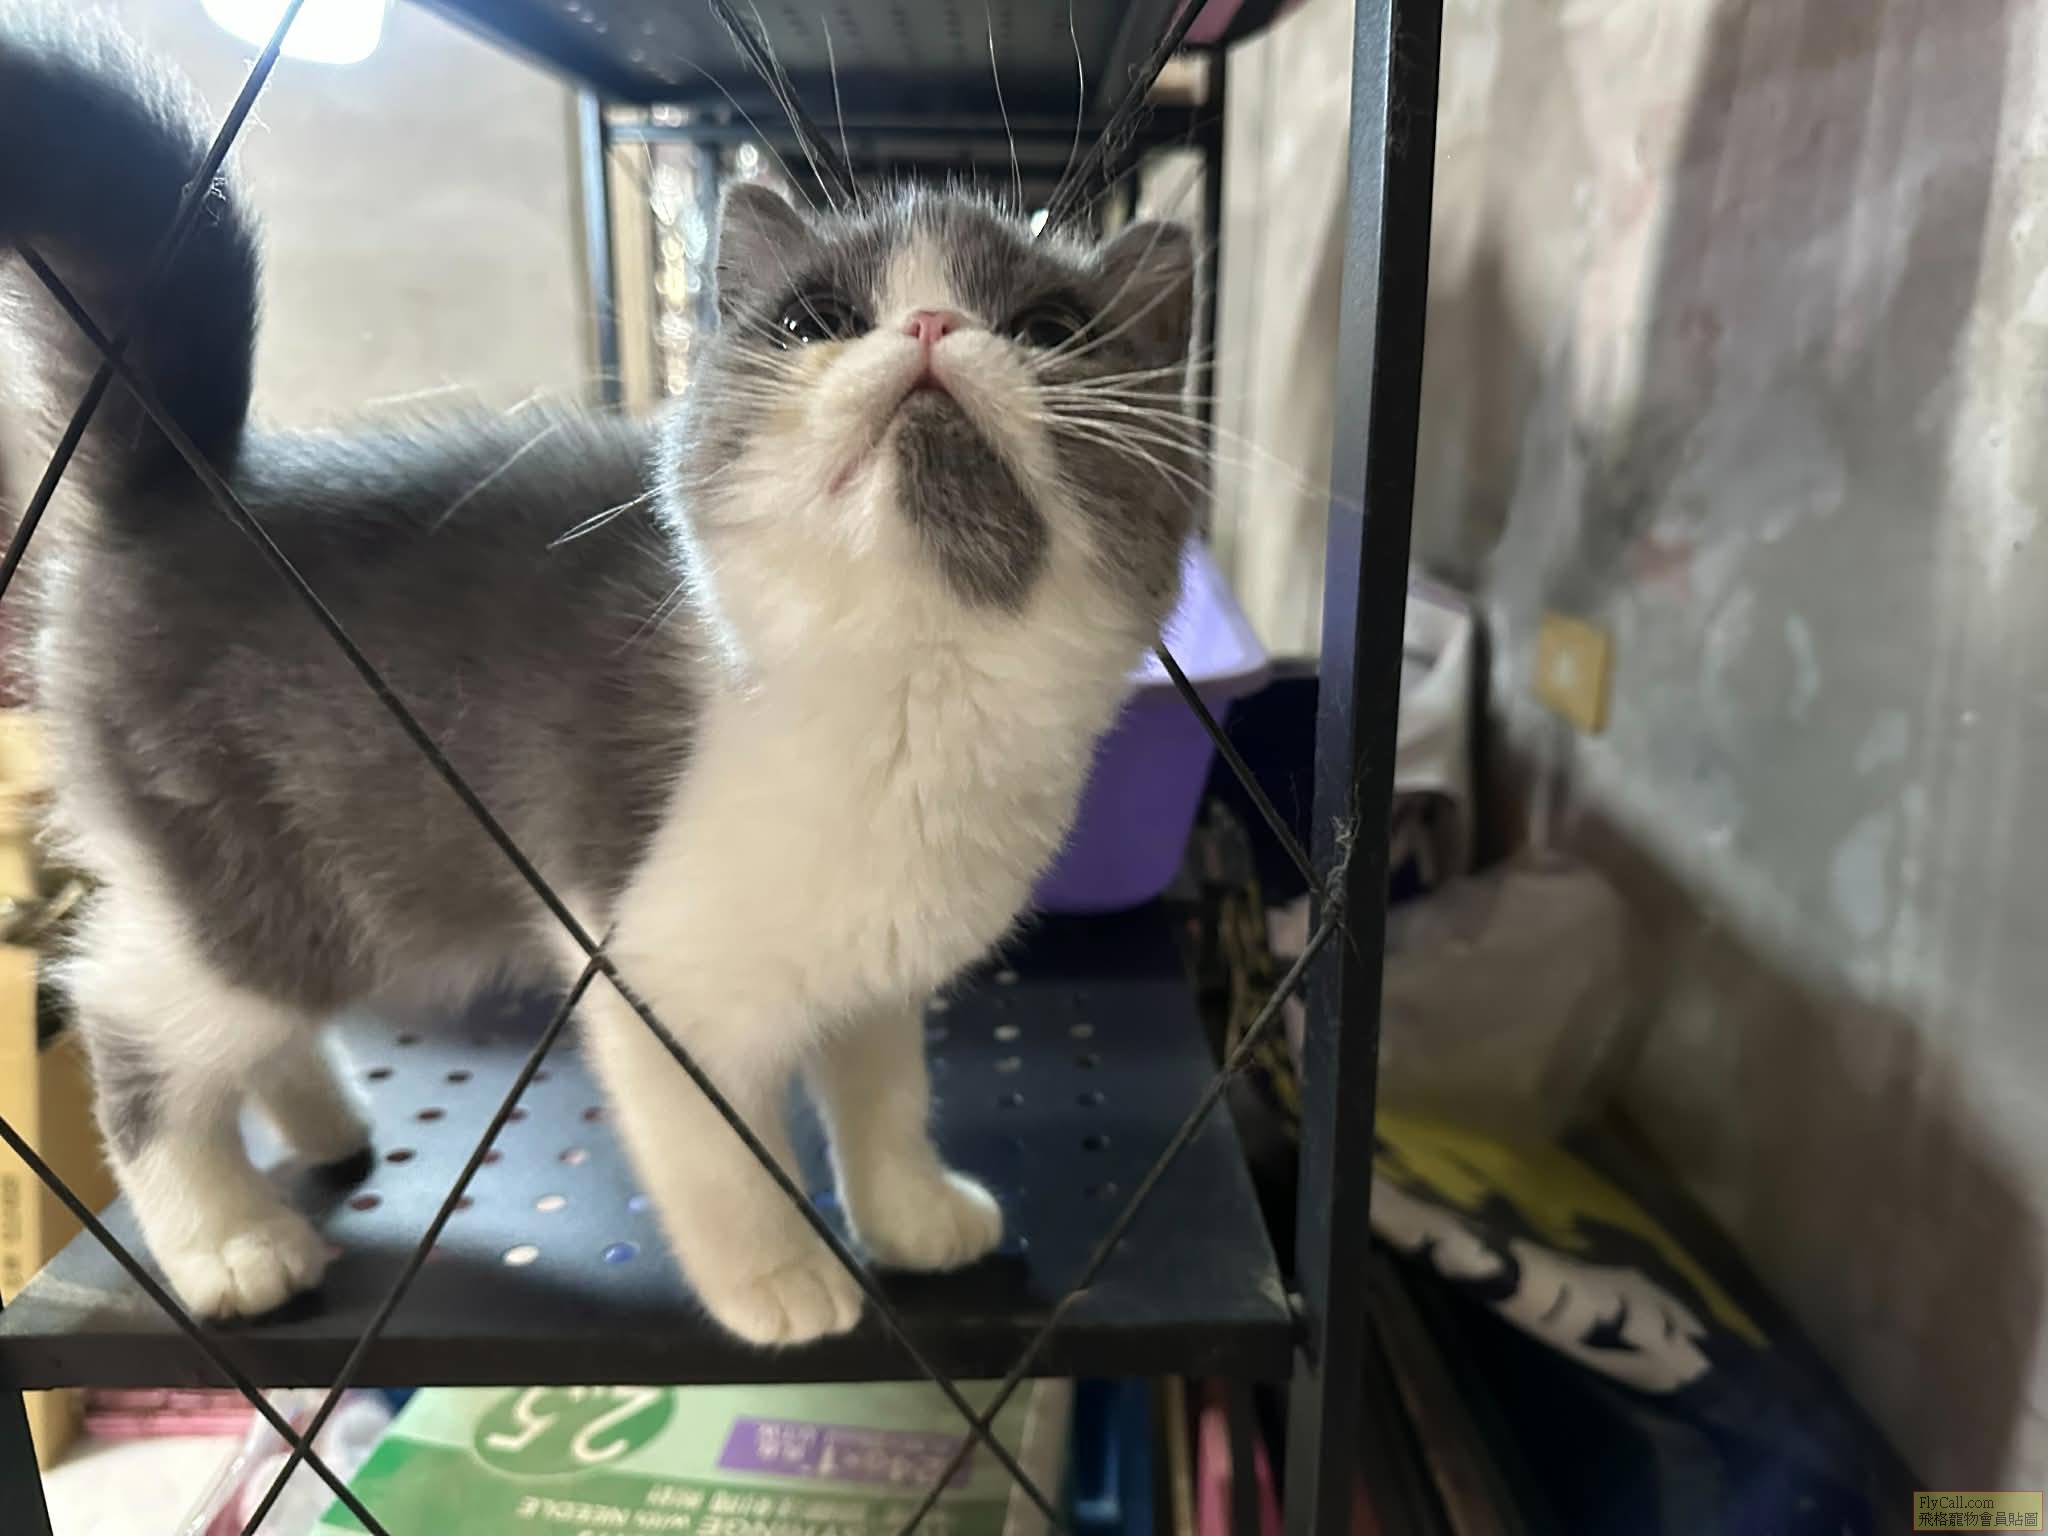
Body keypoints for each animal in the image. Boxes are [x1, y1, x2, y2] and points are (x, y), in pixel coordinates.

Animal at [0, 10, 1199, 1344]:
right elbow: (721, 1151)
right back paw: (226, 1240)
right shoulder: (651, 973)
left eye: (1047, 329)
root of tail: (189, 483)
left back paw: (322, 1125)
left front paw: (910, 1214)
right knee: (128, 1006)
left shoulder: (874, 973)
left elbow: (883, 1090)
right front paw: (778, 1276)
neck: (907, 679)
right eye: (814, 319)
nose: (931, 328)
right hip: (268, 876)